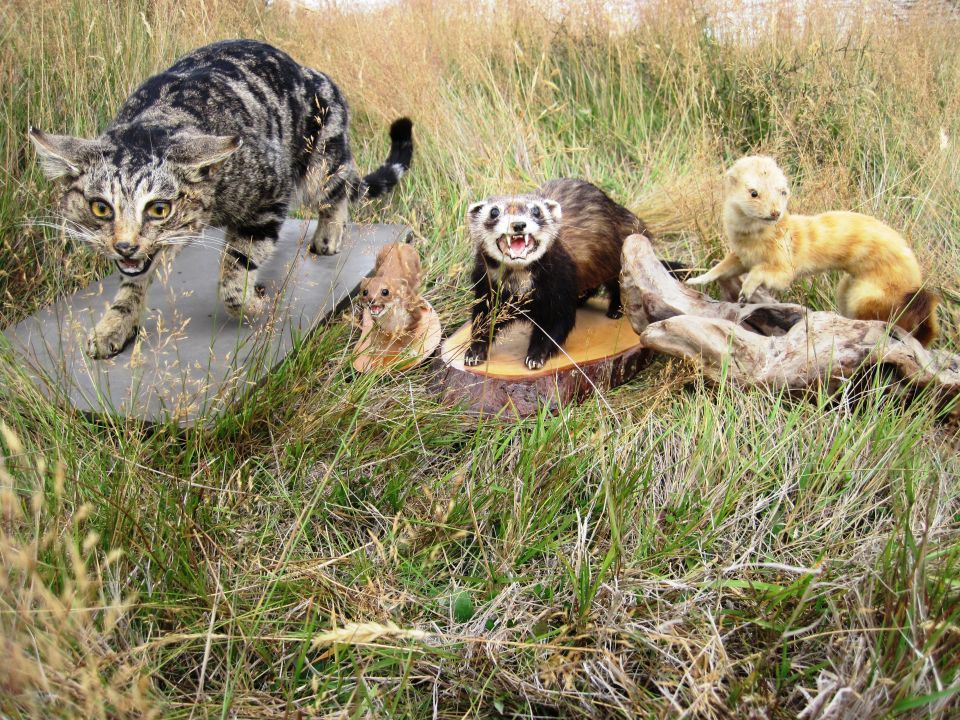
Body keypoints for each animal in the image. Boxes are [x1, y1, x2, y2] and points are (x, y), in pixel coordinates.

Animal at [29, 38, 412, 358]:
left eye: (159, 209)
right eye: (100, 208)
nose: (125, 246)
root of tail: (313, 72)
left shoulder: (270, 191)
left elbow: (234, 273)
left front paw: (252, 303)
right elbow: (131, 284)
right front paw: (115, 324)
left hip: (320, 164)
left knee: (338, 191)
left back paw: (328, 235)